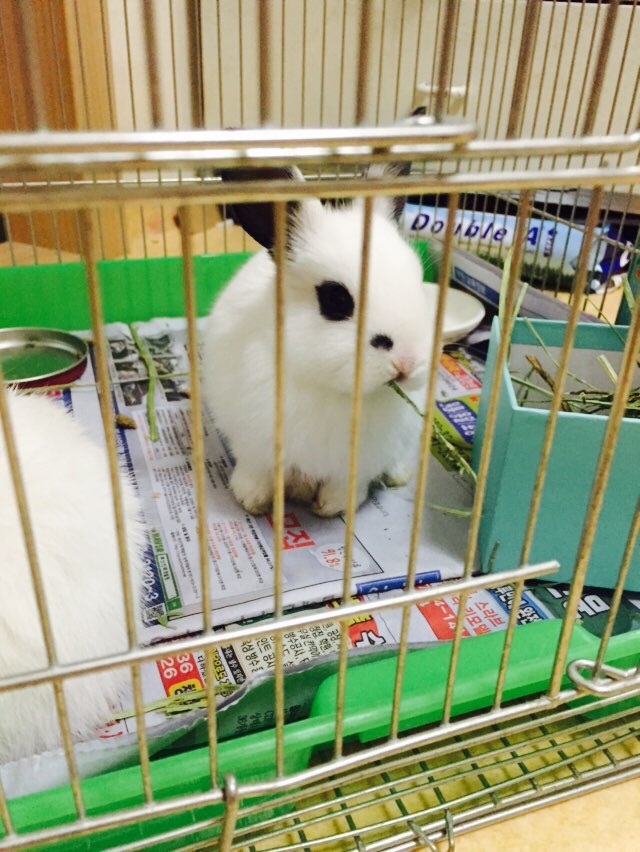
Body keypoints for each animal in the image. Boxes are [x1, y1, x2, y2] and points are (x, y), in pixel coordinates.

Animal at [203, 163, 434, 518]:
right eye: (336, 299)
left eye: (418, 282)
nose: (406, 363)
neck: (332, 390)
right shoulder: (254, 444)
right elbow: (257, 473)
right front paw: (250, 500)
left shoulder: (357, 465)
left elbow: (344, 487)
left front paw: (331, 507)